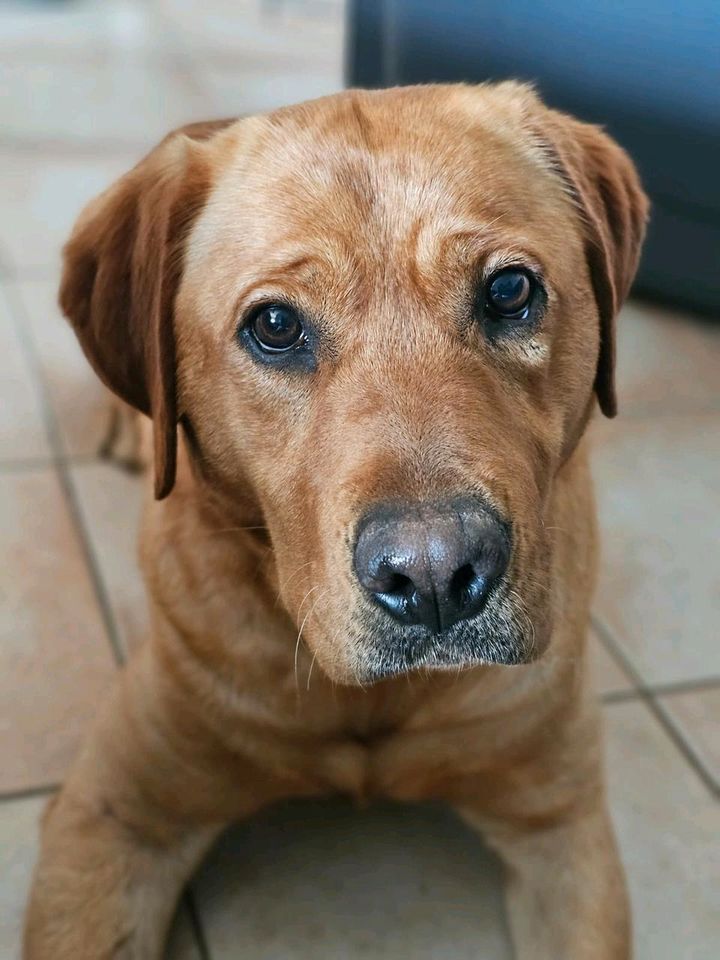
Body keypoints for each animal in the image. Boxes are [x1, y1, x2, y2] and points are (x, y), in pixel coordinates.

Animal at [25, 84, 648, 960]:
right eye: (275, 326)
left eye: (509, 291)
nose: (435, 576)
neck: (369, 709)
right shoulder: (110, 817)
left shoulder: (562, 826)